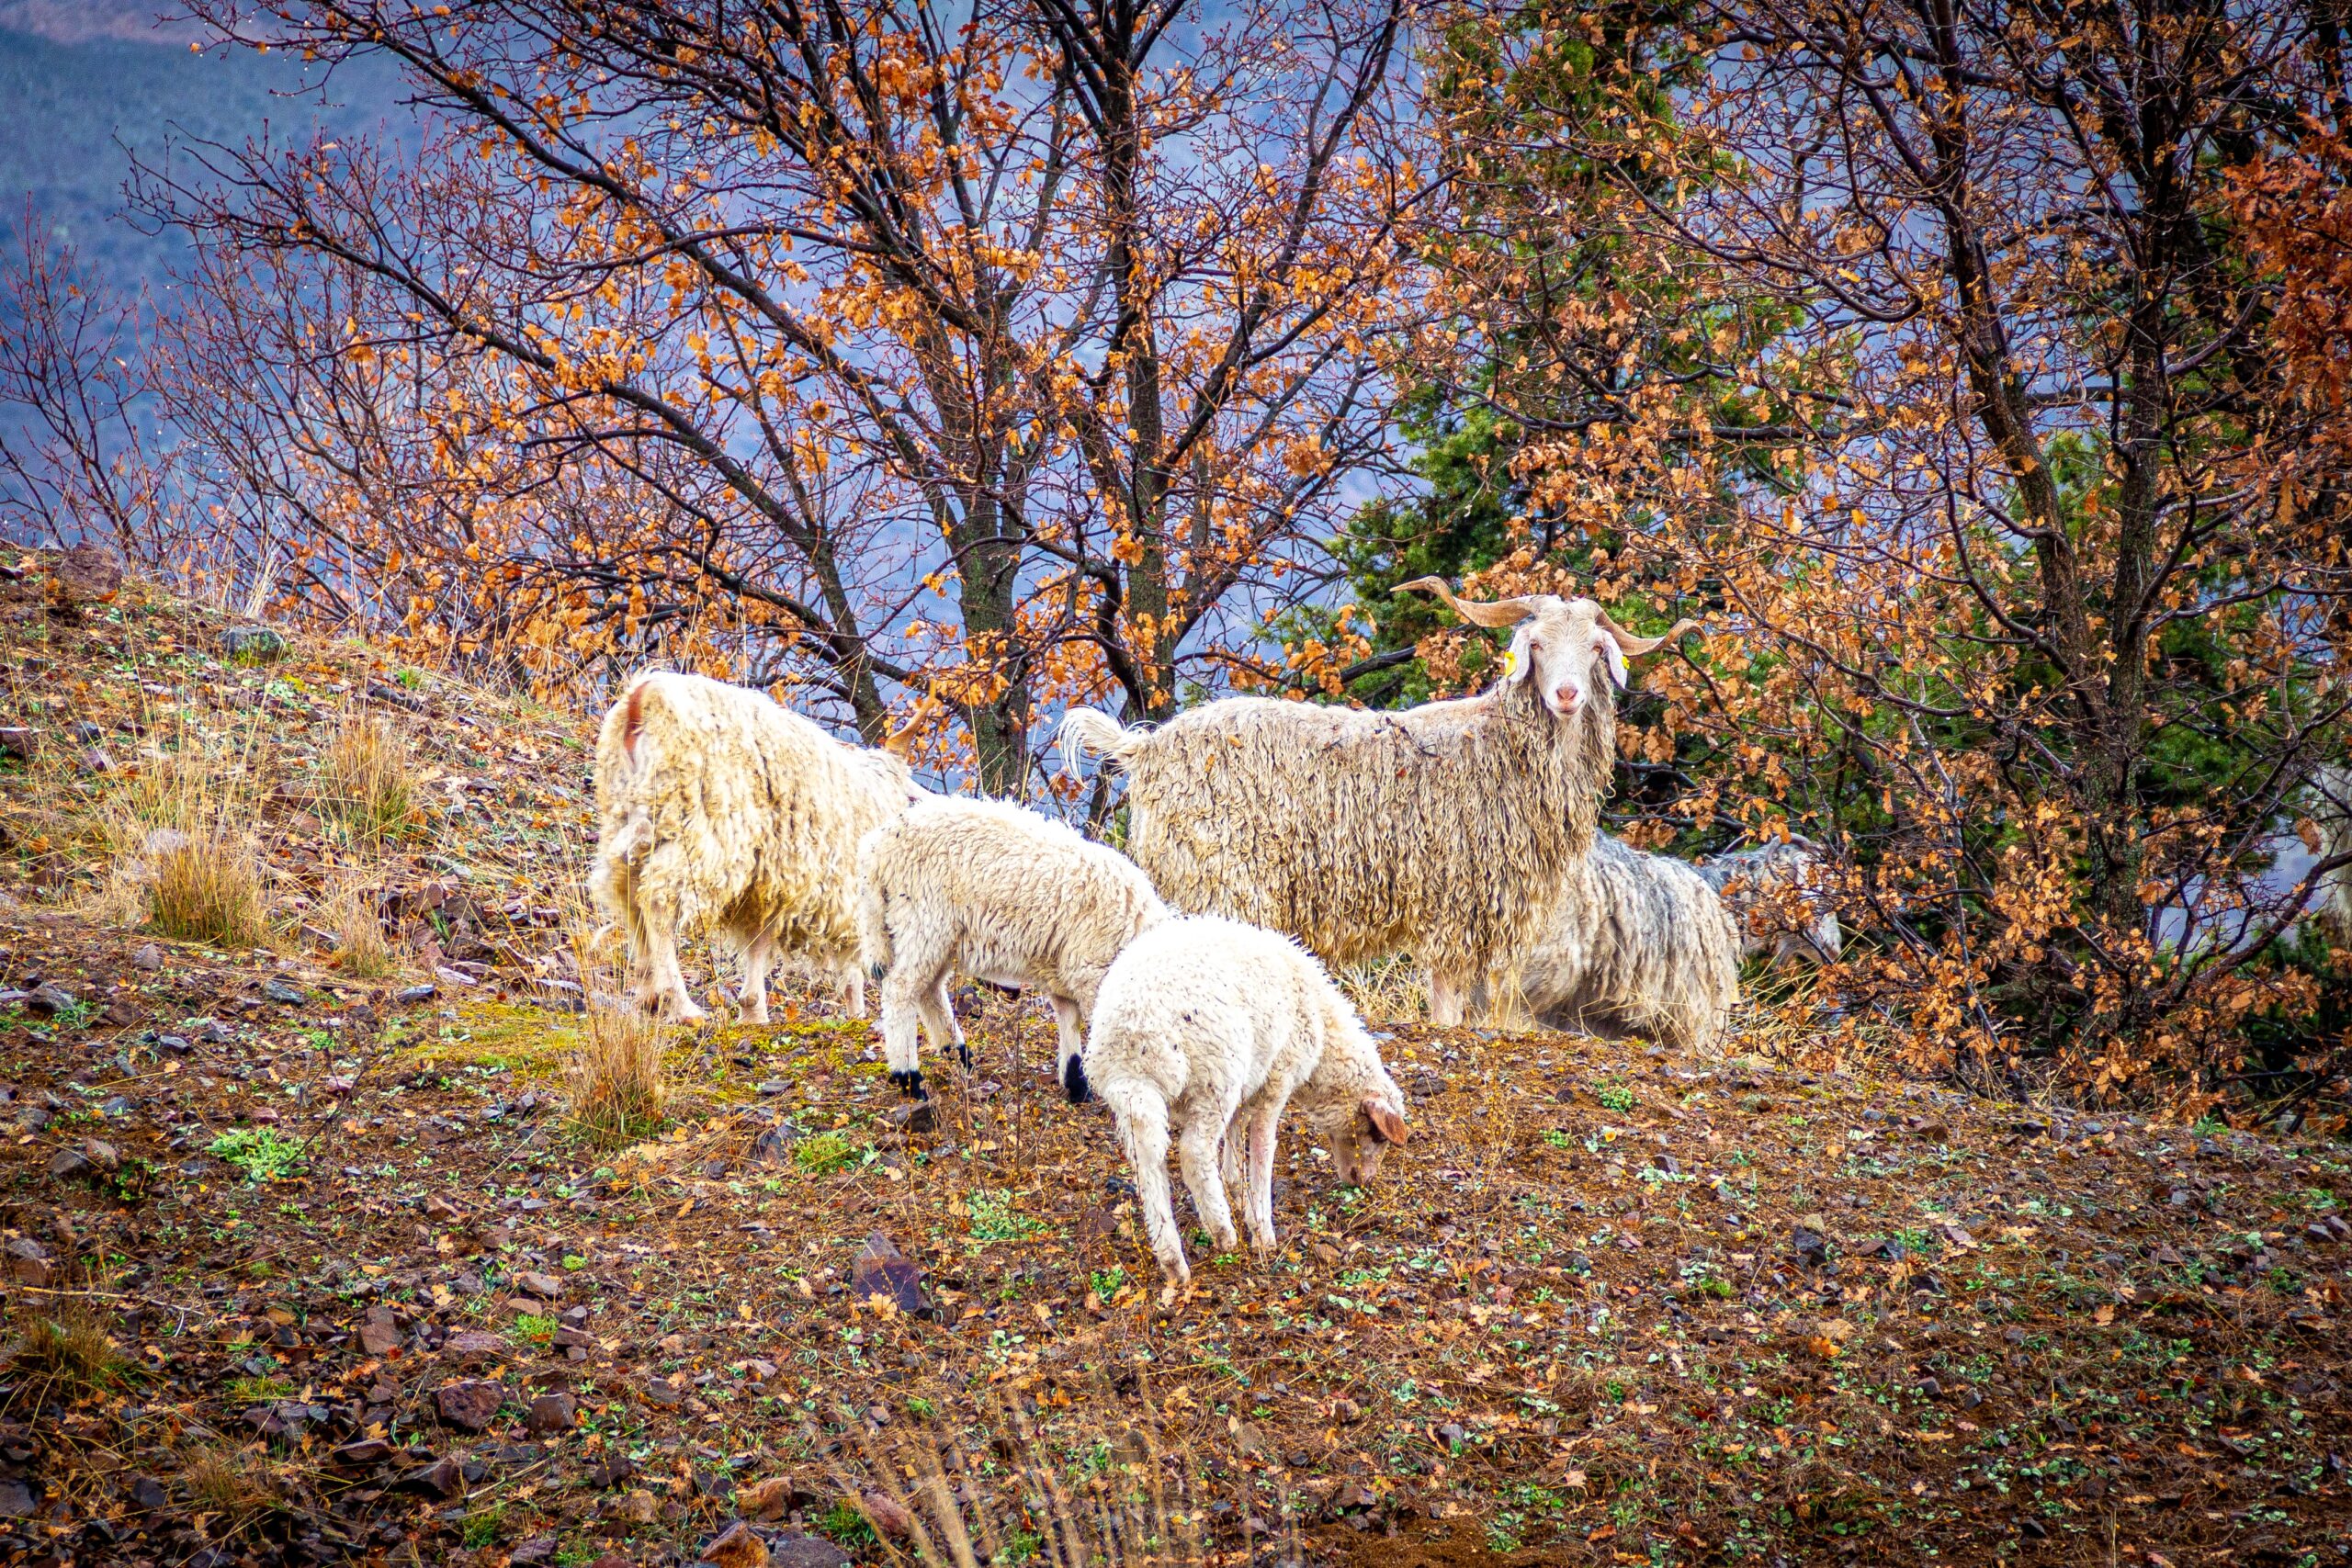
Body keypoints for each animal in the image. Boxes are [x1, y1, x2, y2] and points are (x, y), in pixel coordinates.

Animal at [582, 671, 922, 1020]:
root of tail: (646, 698)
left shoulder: (770, 878)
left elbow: (759, 936)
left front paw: (752, 1010)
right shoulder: (832, 885)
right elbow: (846, 960)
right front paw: (855, 1011)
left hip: (633, 818)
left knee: (628, 891)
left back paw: (649, 992)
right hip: (707, 831)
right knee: (659, 901)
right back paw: (680, 1003)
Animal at [1063, 576, 1693, 1029]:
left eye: (1594, 649)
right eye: (1535, 644)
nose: (1566, 694)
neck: (1493, 743)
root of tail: (1145, 748)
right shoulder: (1455, 896)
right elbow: (1447, 992)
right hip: (1218, 875)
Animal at [1086, 911, 1411, 1297]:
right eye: (1376, 1135)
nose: (1362, 1181)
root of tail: (1135, 1028)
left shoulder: (1248, 1082)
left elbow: (1235, 1134)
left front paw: (1236, 1190)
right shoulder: (1276, 1079)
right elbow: (1262, 1149)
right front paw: (1261, 1227)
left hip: (1137, 1098)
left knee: (1147, 1162)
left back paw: (1172, 1258)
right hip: (1213, 1078)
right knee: (1194, 1154)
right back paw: (1222, 1232)